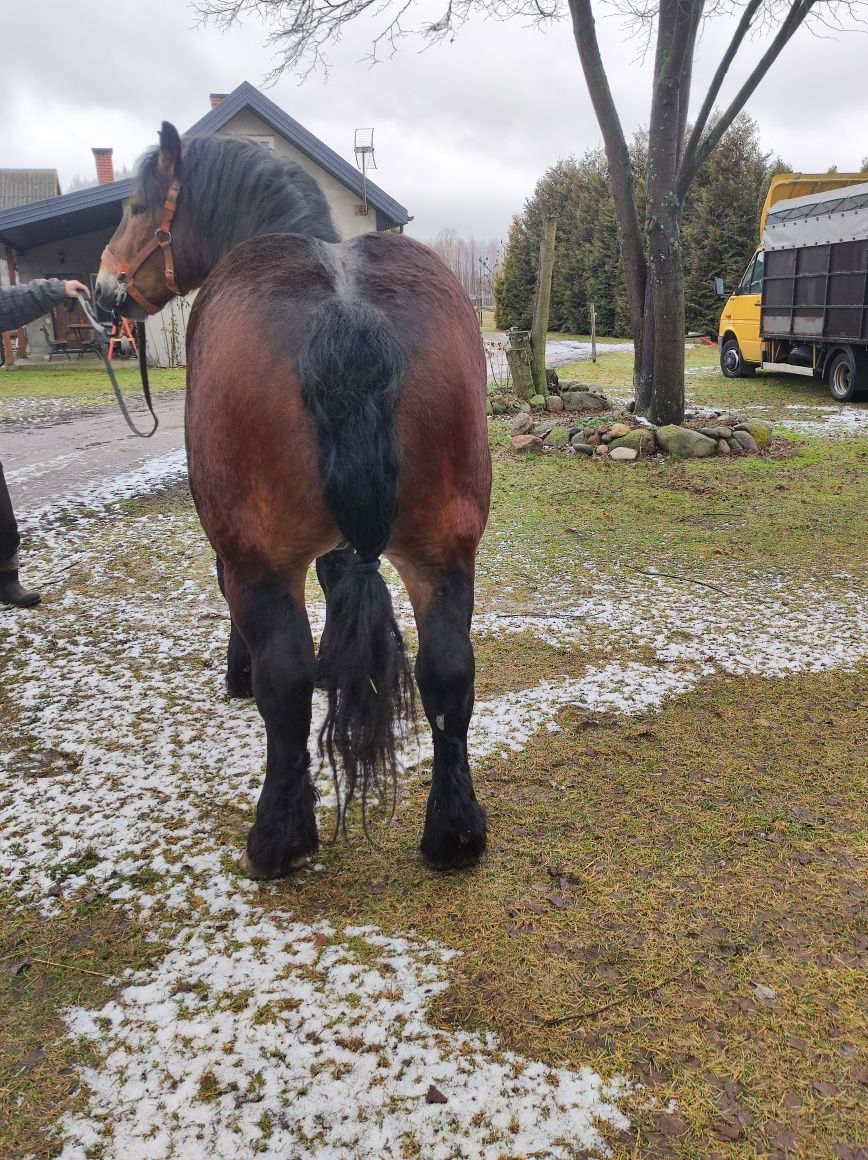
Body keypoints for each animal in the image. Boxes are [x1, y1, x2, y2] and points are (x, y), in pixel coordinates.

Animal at [95, 120, 492, 876]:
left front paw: (240, 670)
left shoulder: (238, 548)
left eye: (133, 206)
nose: (104, 288)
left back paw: (278, 836)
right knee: (449, 675)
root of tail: (346, 312)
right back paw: (454, 834)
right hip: (444, 550)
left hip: (261, 560)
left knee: (284, 687)